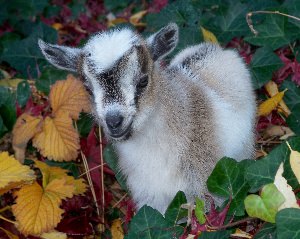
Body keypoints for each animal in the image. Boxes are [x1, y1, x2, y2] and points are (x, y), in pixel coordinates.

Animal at [38, 23, 255, 212]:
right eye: (88, 89)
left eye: (143, 81)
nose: (114, 121)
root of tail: (215, 48)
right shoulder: (150, 199)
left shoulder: (206, 186)